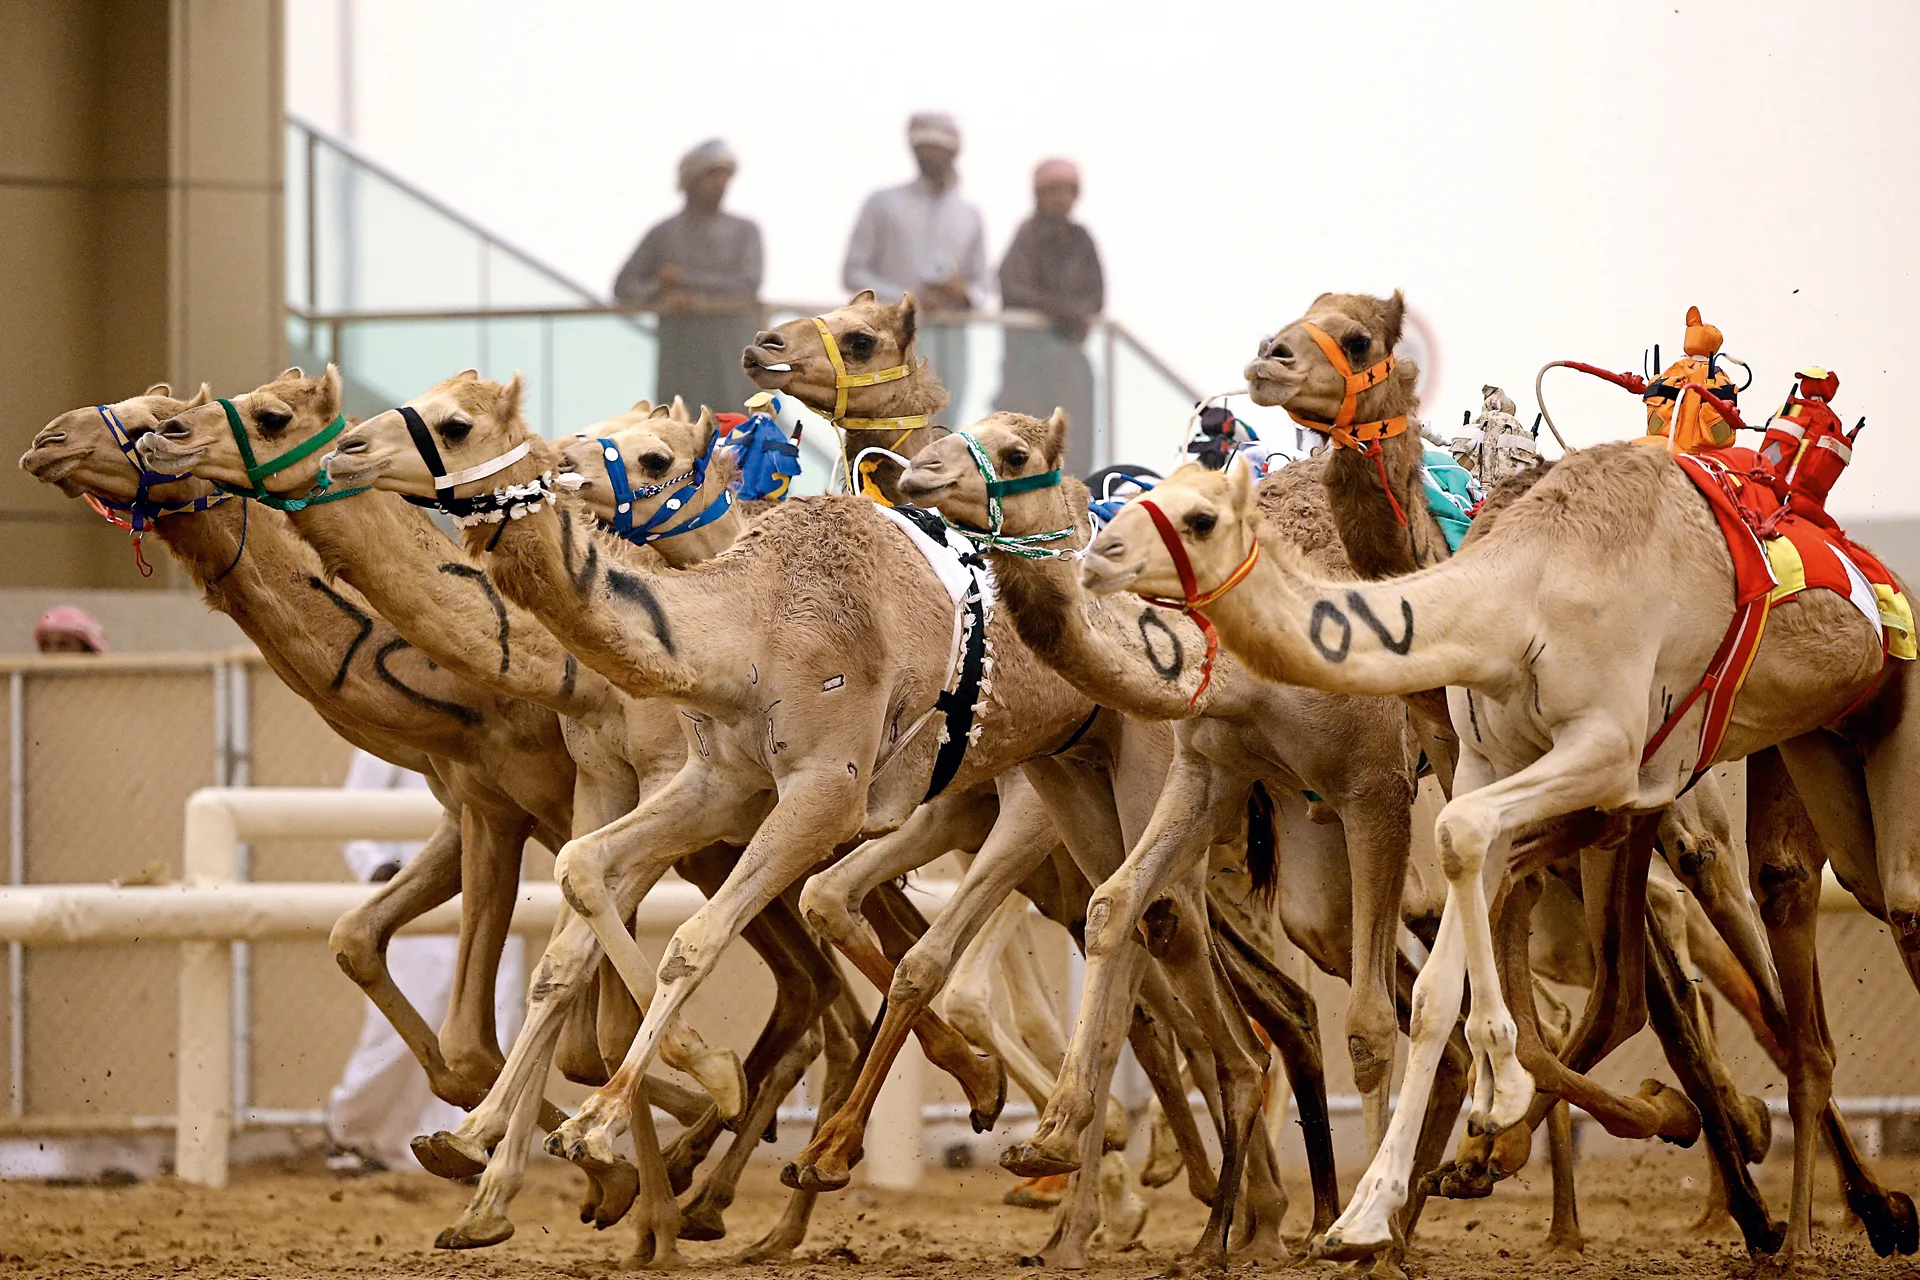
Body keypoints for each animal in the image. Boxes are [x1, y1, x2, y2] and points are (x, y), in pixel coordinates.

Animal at [1078, 408, 1920, 1265]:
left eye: (1199, 517)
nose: (1098, 555)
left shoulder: (1523, 764)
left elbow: (1426, 923)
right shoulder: (1464, 767)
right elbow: (1433, 970)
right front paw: (1375, 1209)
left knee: (1784, 915)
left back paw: (1804, 1203)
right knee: (1705, 949)